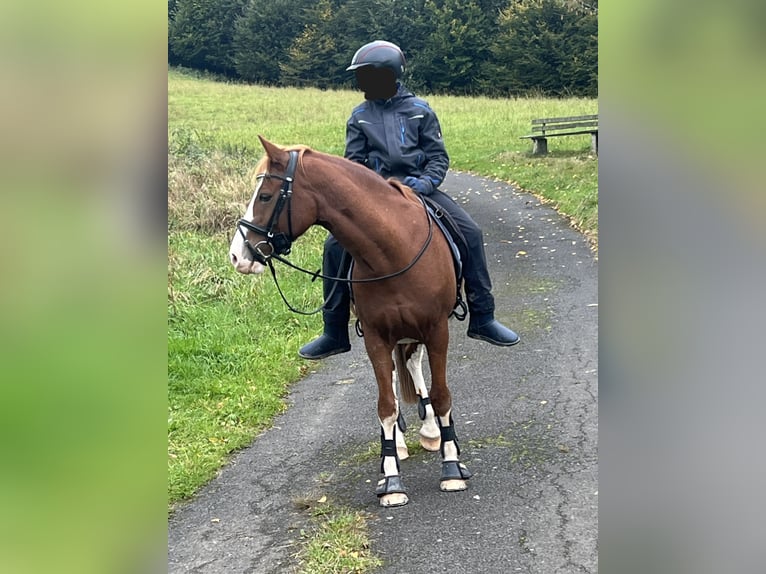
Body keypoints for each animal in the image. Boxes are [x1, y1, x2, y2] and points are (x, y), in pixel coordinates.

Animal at [228, 138, 472, 508]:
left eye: (266, 196)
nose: (237, 256)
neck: (394, 249)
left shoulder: (436, 331)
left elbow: (442, 396)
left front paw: (452, 467)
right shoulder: (375, 336)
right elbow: (386, 406)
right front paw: (391, 479)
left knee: (413, 364)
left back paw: (433, 433)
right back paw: (401, 442)